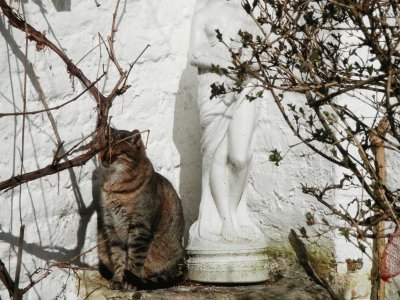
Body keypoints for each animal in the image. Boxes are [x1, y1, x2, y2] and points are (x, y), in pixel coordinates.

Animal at [97, 127, 184, 290]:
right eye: (103, 148)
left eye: (115, 151)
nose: (102, 158)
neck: (113, 186)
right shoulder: (112, 225)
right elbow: (118, 257)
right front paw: (118, 280)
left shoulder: (140, 227)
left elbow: (134, 260)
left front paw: (129, 282)